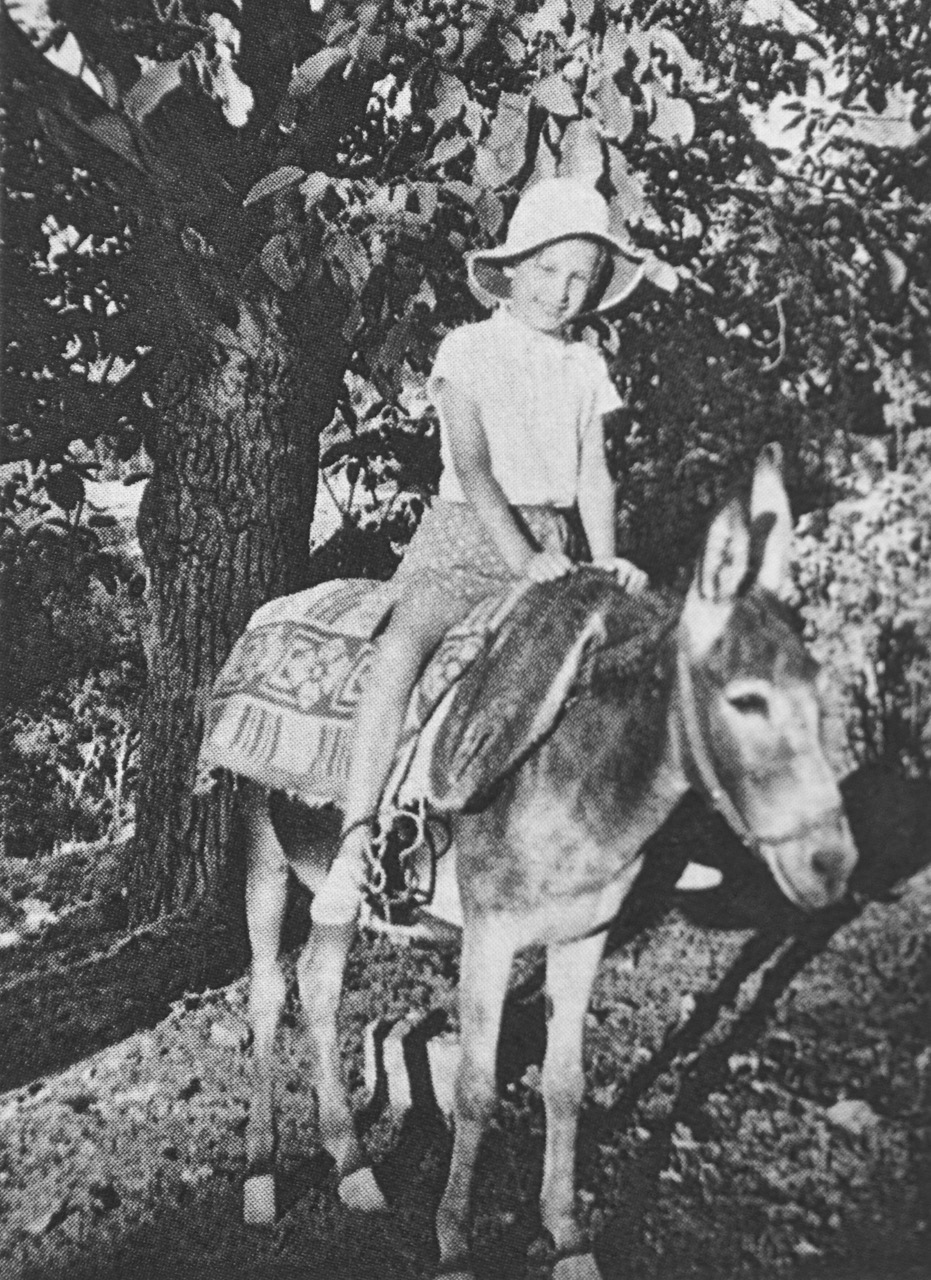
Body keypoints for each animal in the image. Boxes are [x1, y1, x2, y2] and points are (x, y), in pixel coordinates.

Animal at [227, 446, 858, 1280]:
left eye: (817, 690)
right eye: (746, 700)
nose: (830, 863)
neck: (569, 766)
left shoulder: (583, 934)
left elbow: (565, 1084)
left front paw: (568, 1240)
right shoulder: (490, 936)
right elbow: (475, 1089)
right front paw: (455, 1247)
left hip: (332, 893)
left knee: (320, 986)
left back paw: (354, 1170)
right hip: (263, 860)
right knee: (269, 997)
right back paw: (262, 1180)